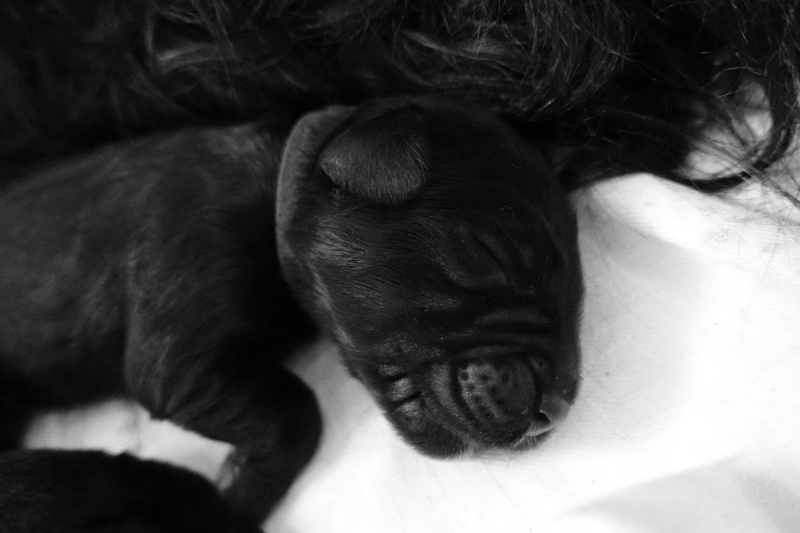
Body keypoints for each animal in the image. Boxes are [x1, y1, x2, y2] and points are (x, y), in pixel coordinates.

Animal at [0, 95, 583, 530]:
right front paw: (237, 490)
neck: (275, 182)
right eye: (488, 253)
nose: (555, 410)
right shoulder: (182, 333)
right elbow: (298, 409)